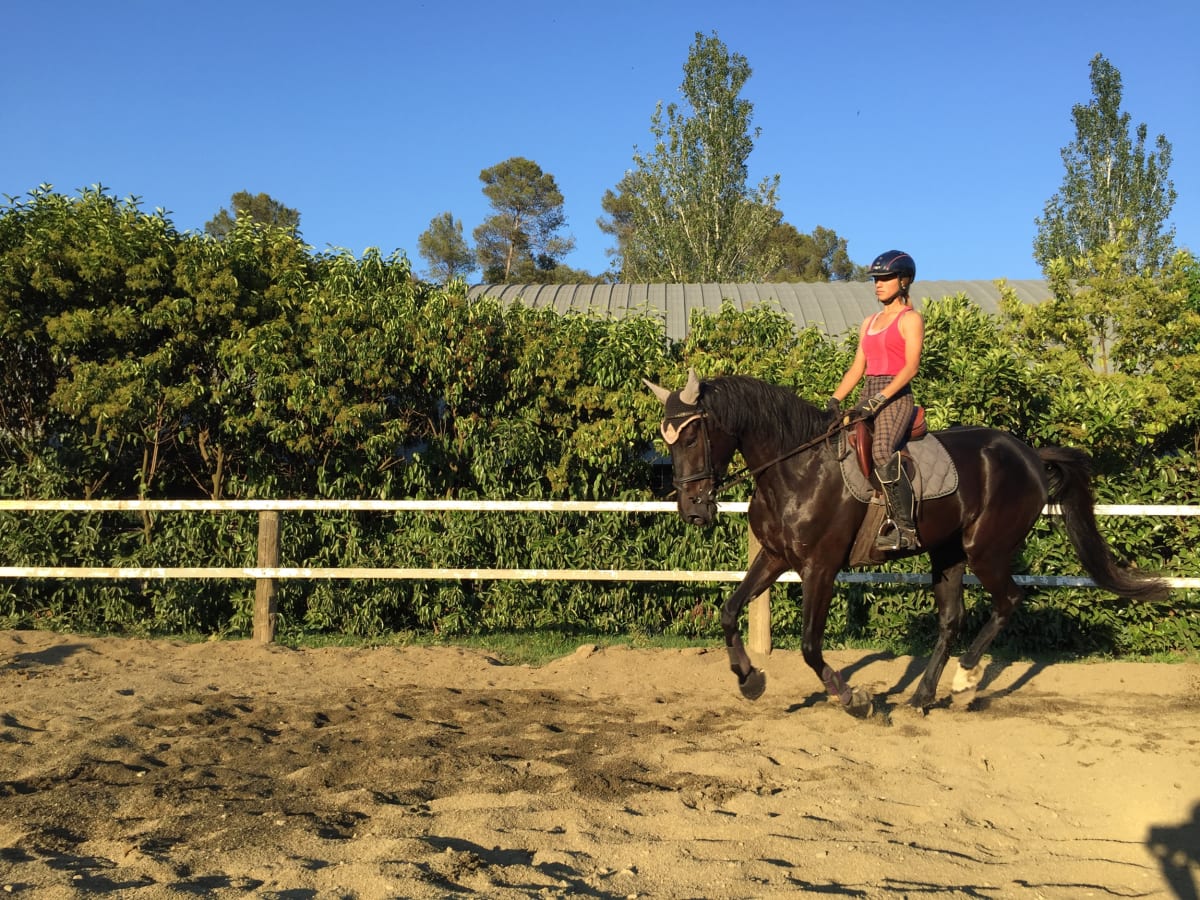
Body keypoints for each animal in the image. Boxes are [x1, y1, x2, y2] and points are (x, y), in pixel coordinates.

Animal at [645, 370, 1169, 713]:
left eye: (690, 437)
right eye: (667, 440)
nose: (693, 510)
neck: (797, 468)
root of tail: (1029, 455)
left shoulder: (821, 568)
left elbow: (811, 646)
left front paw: (852, 698)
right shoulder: (776, 557)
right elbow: (729, 611)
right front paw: (749, 680)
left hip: (986, 550)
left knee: (1009, 601)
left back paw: (965, 680)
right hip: (948, 553)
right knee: (951, 619)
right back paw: (922, 696)